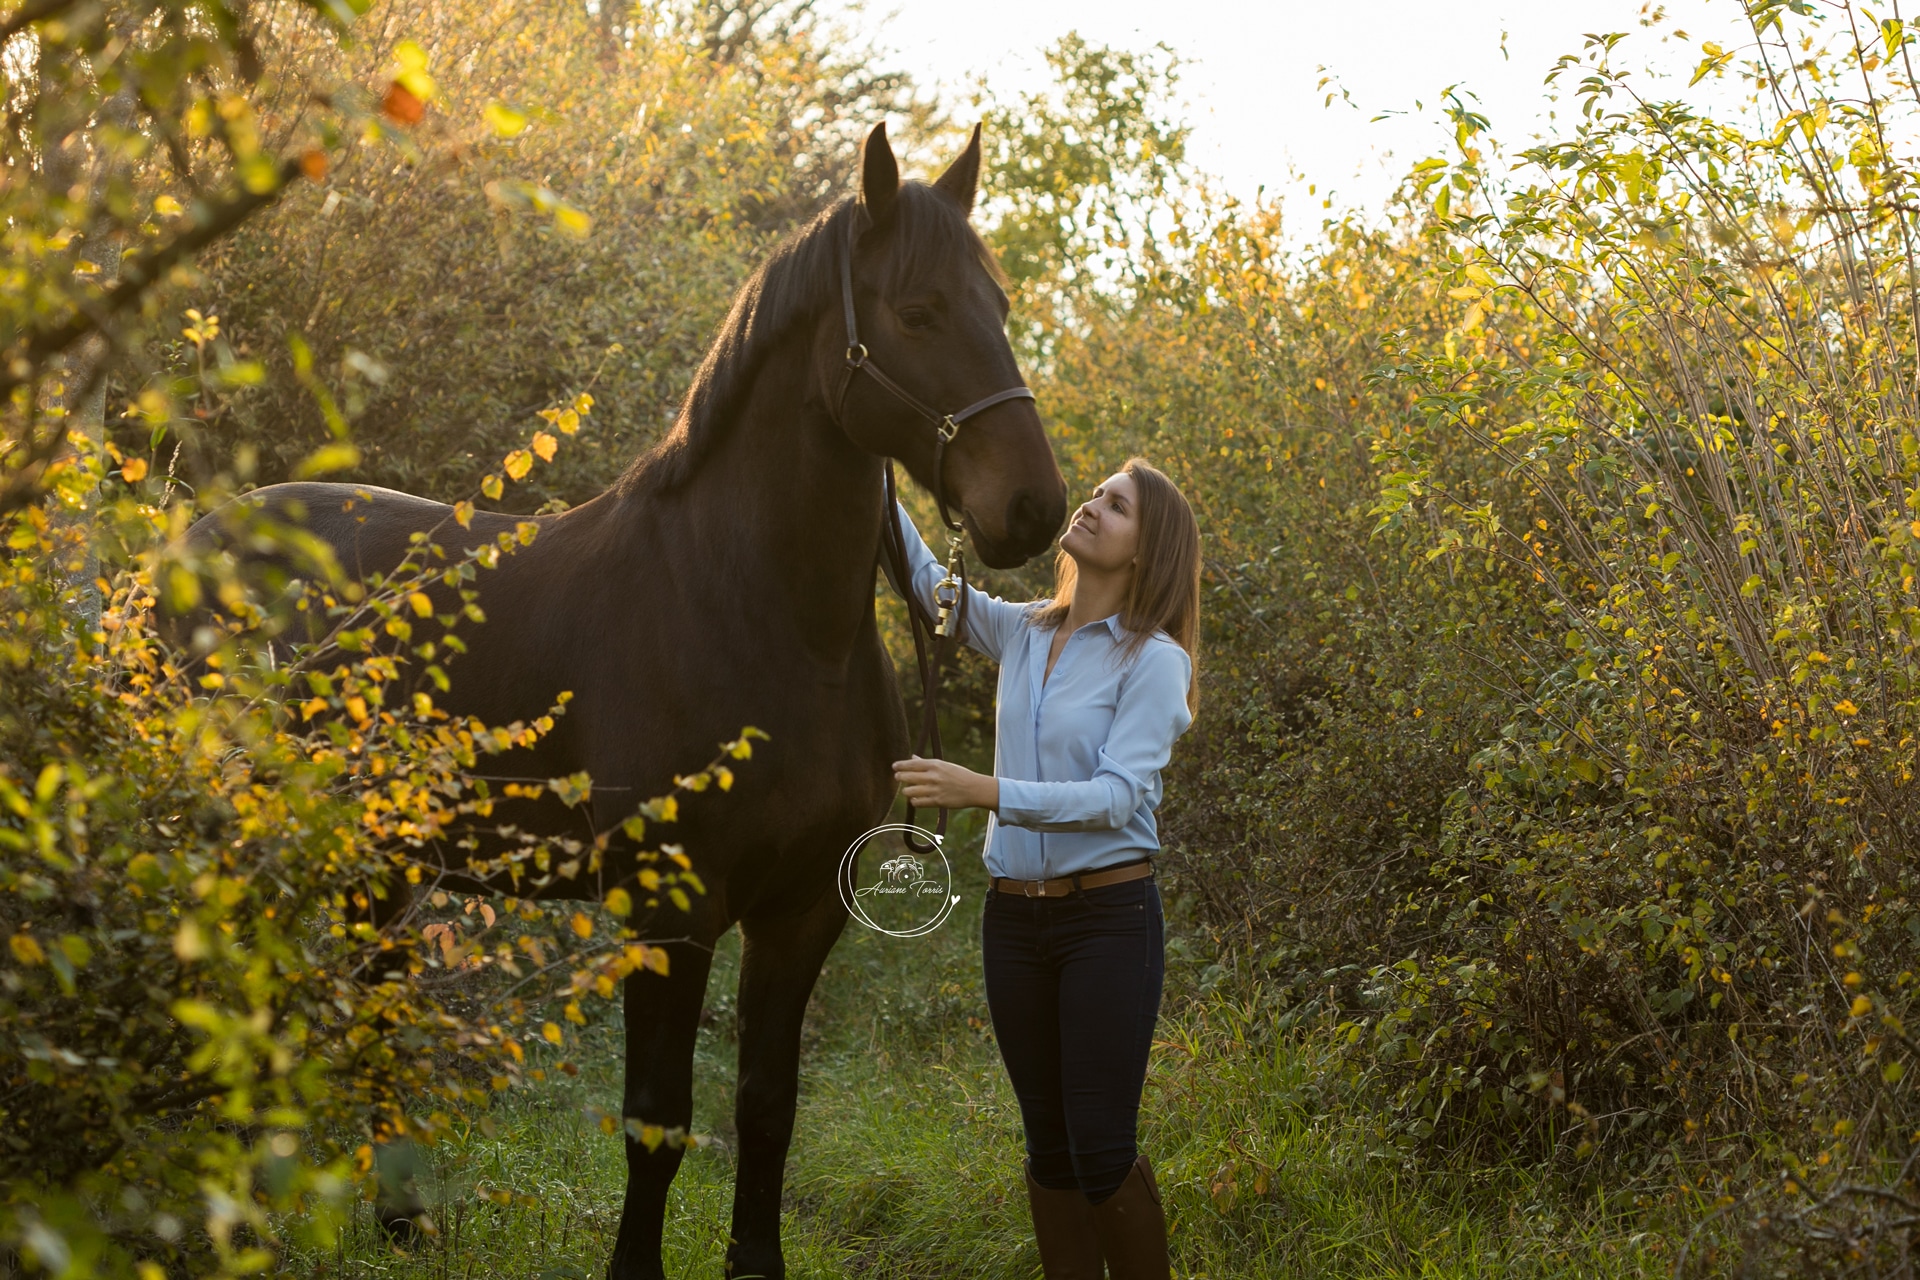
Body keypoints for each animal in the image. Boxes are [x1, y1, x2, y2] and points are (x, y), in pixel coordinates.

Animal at [178, 122, 1067, 1280]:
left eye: (997, 305)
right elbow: (658, 1116)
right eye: (918, 310)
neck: (760, 613)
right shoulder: (667, 906)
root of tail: (193, 542)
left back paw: (399, 1221)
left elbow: (766, 1109)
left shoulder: (802, 910)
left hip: (377, 853)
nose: (1034, 507)